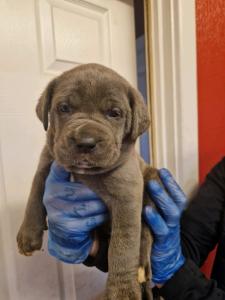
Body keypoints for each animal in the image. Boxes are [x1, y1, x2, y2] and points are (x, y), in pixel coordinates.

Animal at [16, 63, 159, 300]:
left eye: (114, 113)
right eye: (64, 108)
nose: (85, 142)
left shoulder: (127, 195)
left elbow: (123, 244)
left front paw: (122, 290)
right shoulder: (46, 165)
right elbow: (34, 197)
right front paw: (28, 235)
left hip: (152, 181)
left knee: (145, 233)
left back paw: (140, 267)